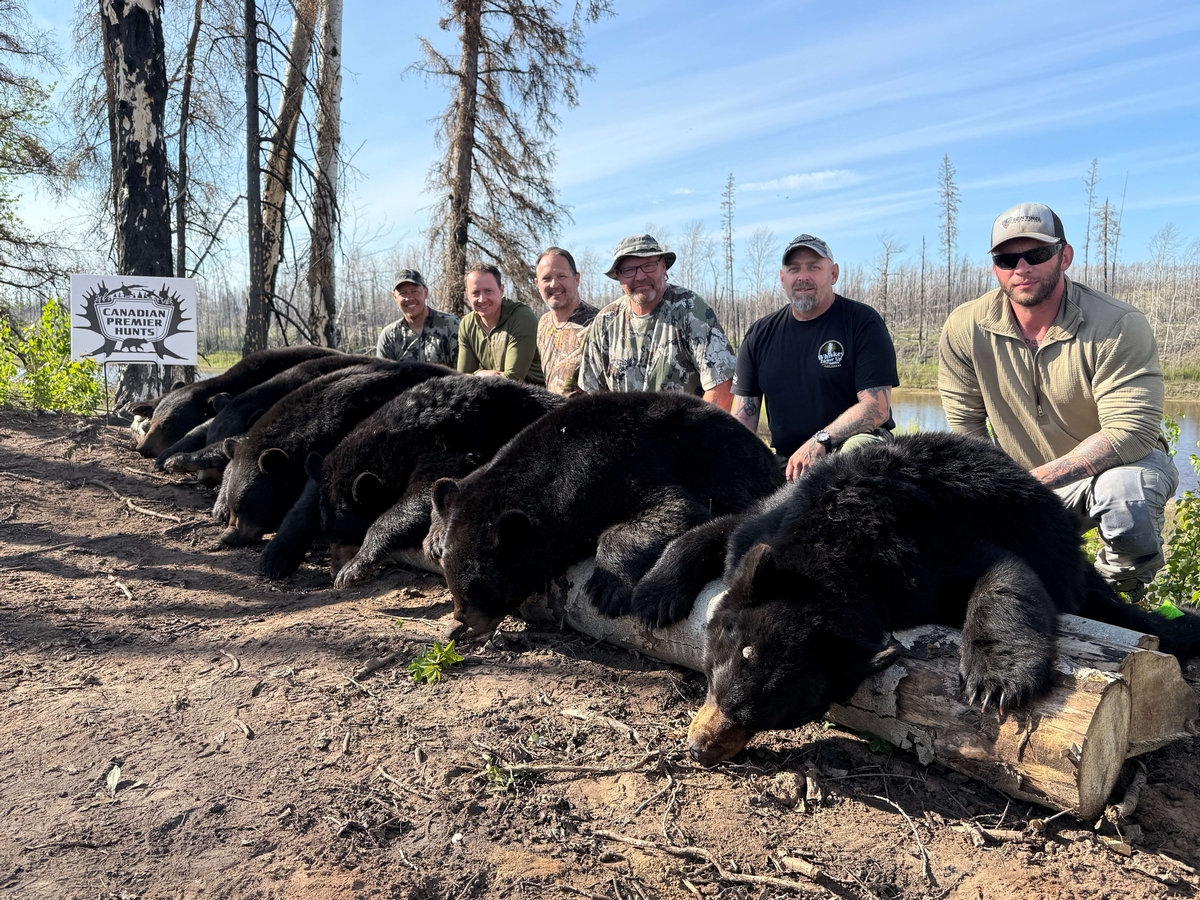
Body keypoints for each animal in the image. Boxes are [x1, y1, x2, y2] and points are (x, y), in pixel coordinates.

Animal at [275, 376, 567, 585]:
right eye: (327, 536)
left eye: (348, 536)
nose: (333, 572)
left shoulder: (451, 437)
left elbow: (426, 489)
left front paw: (355, 567)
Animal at [428, 391, 785, 640]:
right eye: (449, 579)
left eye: (476, 588)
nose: (460, 624)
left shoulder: (627, 463)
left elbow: (676, 509)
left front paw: (607, 587)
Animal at [669, 431, 1200, 766]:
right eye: (713, 678)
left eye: (758, 717)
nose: (698, 746)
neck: (830, 548)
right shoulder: (777, 518)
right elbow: (729, 526)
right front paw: (661, 583)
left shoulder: (922, 549)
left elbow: (1003, 573)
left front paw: (998, 679)